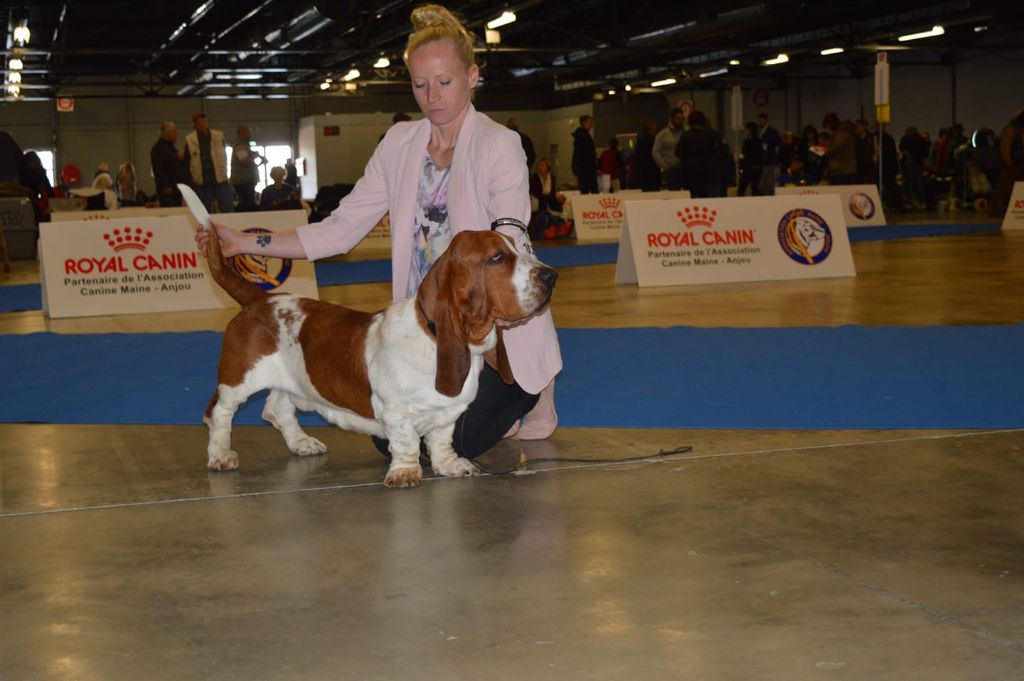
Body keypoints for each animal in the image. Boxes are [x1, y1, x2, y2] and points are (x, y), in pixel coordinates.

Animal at [201, 222, 557, 488]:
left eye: (516, 247)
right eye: (497, 257)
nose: (551, 275)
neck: (434, 336)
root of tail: (258, 300)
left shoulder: (448, 414)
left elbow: (441, 440)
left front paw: (450, 465)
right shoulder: (395, 412)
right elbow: (406, 442)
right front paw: (405, 472)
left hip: (294, 380)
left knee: (277, 410)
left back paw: (303, 443)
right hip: (238, 380)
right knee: (219, 413)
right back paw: (220, 456)